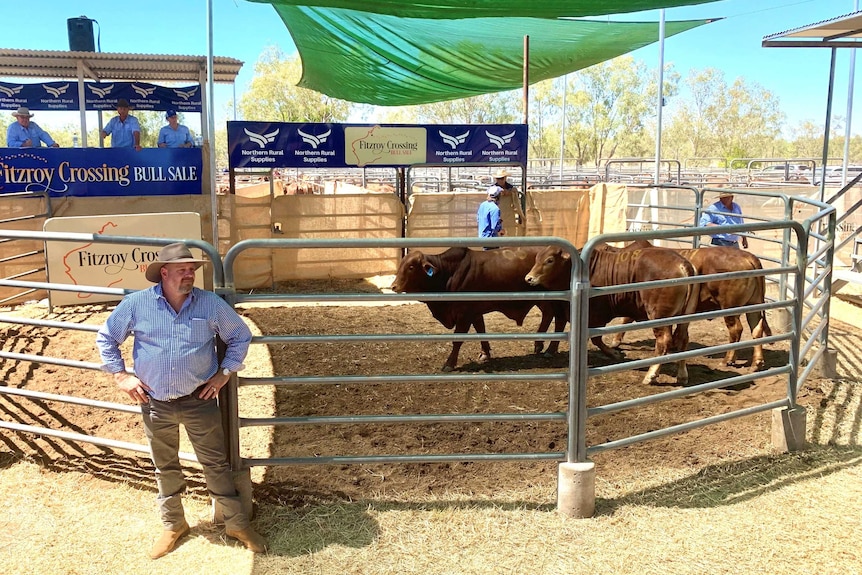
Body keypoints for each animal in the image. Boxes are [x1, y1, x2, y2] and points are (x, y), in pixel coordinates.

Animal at [392, 248, 568, 374]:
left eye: (411, 267)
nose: (394, 286)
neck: (448, 273)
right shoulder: (475, 313)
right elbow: (481, 330)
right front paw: (485, 353)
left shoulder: (464, 314)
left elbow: (458, 339)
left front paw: (449, 363)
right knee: (548, 315)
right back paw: (539, 344)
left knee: (560, 319)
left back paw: (550, 349)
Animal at [528, 245, 704, 384]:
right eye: (536, 258)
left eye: (549, 260)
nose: (529, 278)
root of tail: (682, 263)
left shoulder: (595, 317)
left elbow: (596, 339)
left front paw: (614, 353)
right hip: (684, 317)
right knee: (683, 339)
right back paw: (682, 375)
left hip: (659, 316)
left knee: (663, 341)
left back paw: (651, 375)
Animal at [612, 241, 772, 372]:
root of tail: (748, 257)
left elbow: (626, 319)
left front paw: (615, 342)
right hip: (753, 304)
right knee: (756, 328)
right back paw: (756, 363)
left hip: (730, 307)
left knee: (736, 330)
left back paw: (727, 360)